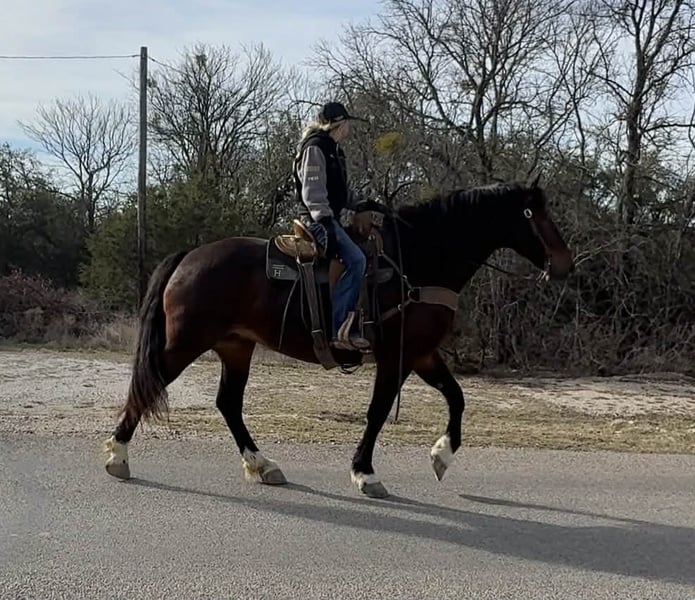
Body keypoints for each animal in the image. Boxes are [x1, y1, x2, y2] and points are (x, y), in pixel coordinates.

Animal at [103, 174, 574, 498]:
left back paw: (262, 465)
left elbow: (456, 399)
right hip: (186, 343)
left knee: (228, 404)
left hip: (235, 346)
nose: (565, 263)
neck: (419, 260)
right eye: (532, 214)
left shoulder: (422, 354)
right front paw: (365, 472)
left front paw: (441, 456)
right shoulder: (398, 357)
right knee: (148, 387)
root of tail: (189, 256)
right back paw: (117, 455)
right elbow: (378, 412)